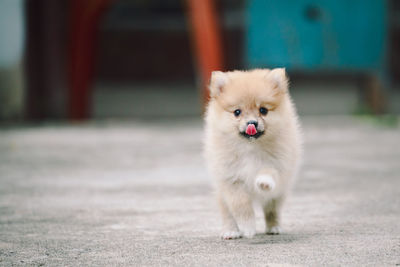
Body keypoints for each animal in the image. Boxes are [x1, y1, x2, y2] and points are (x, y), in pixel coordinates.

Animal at [205, 69, 302, 241]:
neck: (249, 147)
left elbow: (269, 171)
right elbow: (241, 206)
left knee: (272, 209)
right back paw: (230, 231)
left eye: (263, 110)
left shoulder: (278, 162)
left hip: (278, 194)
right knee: (227, 213)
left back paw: (274, 227)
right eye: (237, 112)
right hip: (221, 194)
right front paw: (248, 228)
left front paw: (264, 181)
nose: (252, 123)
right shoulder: (231, 180)